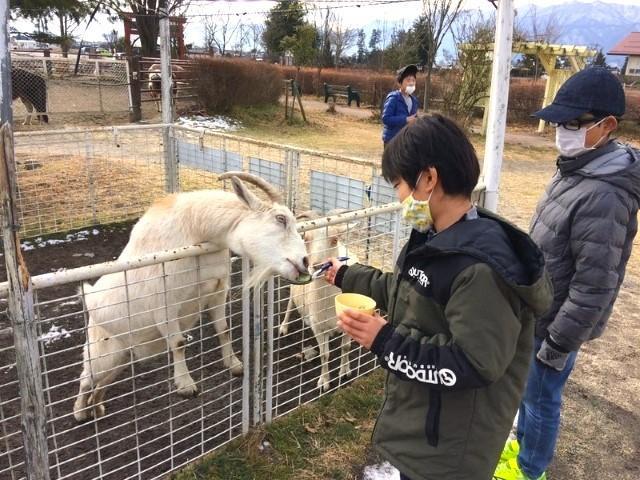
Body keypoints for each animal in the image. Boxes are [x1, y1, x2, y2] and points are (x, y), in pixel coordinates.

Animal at [74, 172, 310, 420]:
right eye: (281, 219)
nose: (304, 262)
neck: (196, 230)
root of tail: (91, 303)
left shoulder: (218, 291)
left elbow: (223, 329)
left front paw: (235, 364)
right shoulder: (164, 304)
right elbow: (178, 343)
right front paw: (186, 385)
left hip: (121, 357)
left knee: (101, 383)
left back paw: (97, 408)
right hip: (101, 353)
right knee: (86, 379)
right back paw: (80, 412)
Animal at [280, 212, 360, 392]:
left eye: (334, 239)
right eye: (306, 239)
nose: (318, 265)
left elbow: (345, 347)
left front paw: (345, 371)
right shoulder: (318, 327)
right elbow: (325, 355)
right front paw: (324, 381)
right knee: (289, 304)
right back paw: (284, 326)